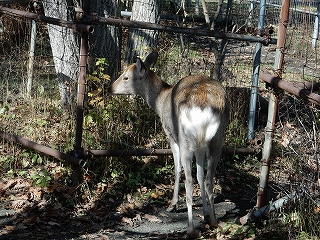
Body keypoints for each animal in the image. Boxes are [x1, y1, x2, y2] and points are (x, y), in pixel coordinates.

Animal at [109, 51, 229, 237]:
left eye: (126, 77)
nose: (110, 88)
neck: (159, 101)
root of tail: (204, 107)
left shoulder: (171, 136)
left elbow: (177, 169)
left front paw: (172, 205)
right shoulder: (200, 145)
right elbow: (200, 174)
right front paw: (205, 212)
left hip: (184, 138)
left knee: (189, 180)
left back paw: (190, 228)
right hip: (217, 138)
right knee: (209, 178)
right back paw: (213, 221)